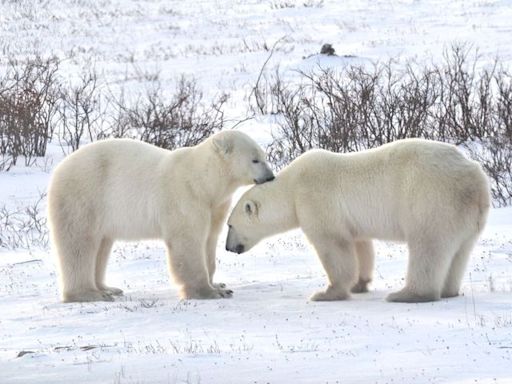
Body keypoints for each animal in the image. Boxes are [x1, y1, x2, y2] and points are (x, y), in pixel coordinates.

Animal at [47, 132, 276, 304]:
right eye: (255, 159)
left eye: (264, 156)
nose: (270, 177)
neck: (203, 180)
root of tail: (59, 169)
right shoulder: (186, 198)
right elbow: (187, 242)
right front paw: (208, 292)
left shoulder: (214, 205)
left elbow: (209, 241)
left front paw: (219, 284)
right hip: (84, 196)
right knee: (79, 244)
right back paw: (89, 294)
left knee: (102, 245)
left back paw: (108, 288)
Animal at [226, 138, 490, 304]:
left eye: (230, 225)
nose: (228, 247)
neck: (291, 187)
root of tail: (474, 178)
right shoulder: (352, 221)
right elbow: (360, 245)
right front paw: (359, 284)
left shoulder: (315, 199)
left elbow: (333, 245)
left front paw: (326, 293)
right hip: (466, 215)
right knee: (459, 251)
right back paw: (448, 290)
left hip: (431, 199)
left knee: (427, 247)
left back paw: (407, 294)